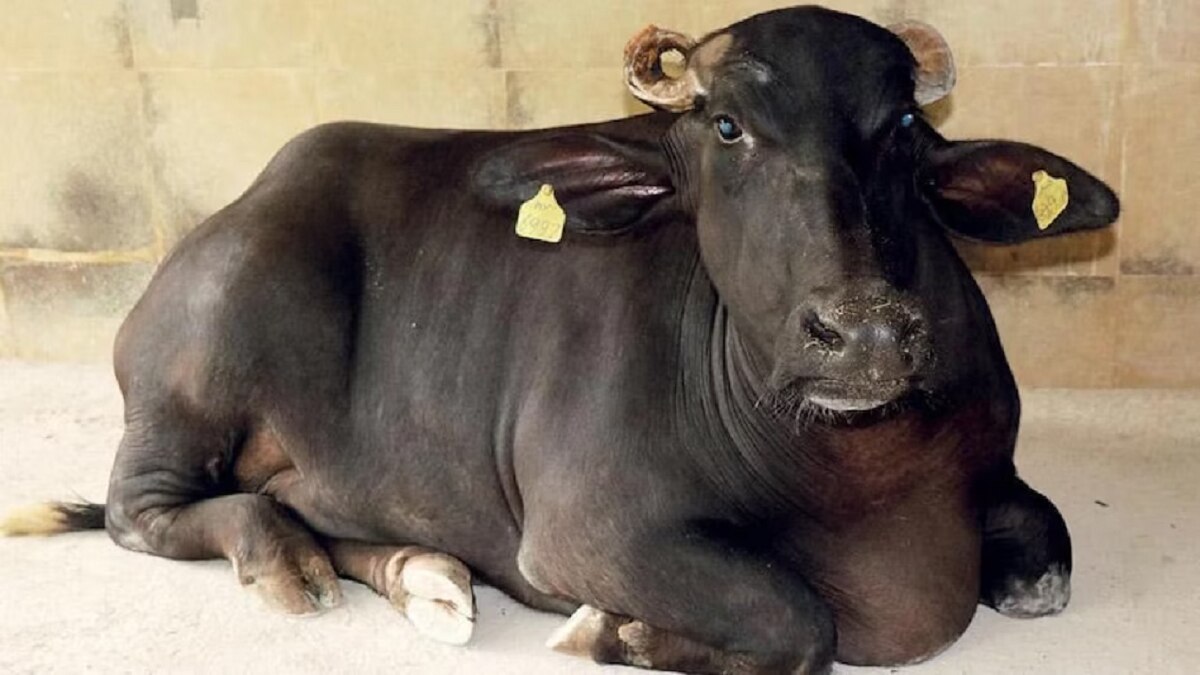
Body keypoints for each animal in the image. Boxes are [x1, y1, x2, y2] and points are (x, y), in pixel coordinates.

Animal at [2, 6, 1117, 674]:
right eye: (727, 128)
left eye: (901, 131)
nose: (864, 331)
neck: (863, 473)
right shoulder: (589, 530)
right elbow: (799, 617)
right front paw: (618, 630)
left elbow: (1045, 556)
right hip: (191, 376)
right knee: (145, 511)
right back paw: (284, 560)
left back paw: (428, 575)